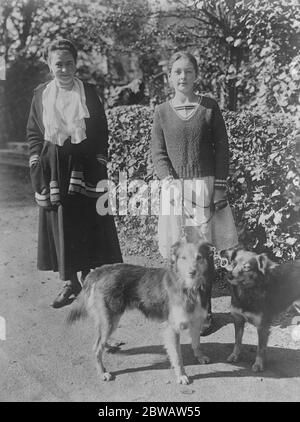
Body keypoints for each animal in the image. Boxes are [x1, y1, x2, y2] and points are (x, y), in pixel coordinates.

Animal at [67, 241, 214, 382]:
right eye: (183, 258)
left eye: (199, 257)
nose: (192, 272)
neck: (190, 289)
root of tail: (99, 271)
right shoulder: (172, 328)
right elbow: (178, 357)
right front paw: (181, 375)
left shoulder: (196, 322)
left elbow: (196, 343)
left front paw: (199, 356)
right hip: (111, 319)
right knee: (96, 347)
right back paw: (102, 372)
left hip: (107, 320)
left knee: (99, 338)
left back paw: (108, 345)